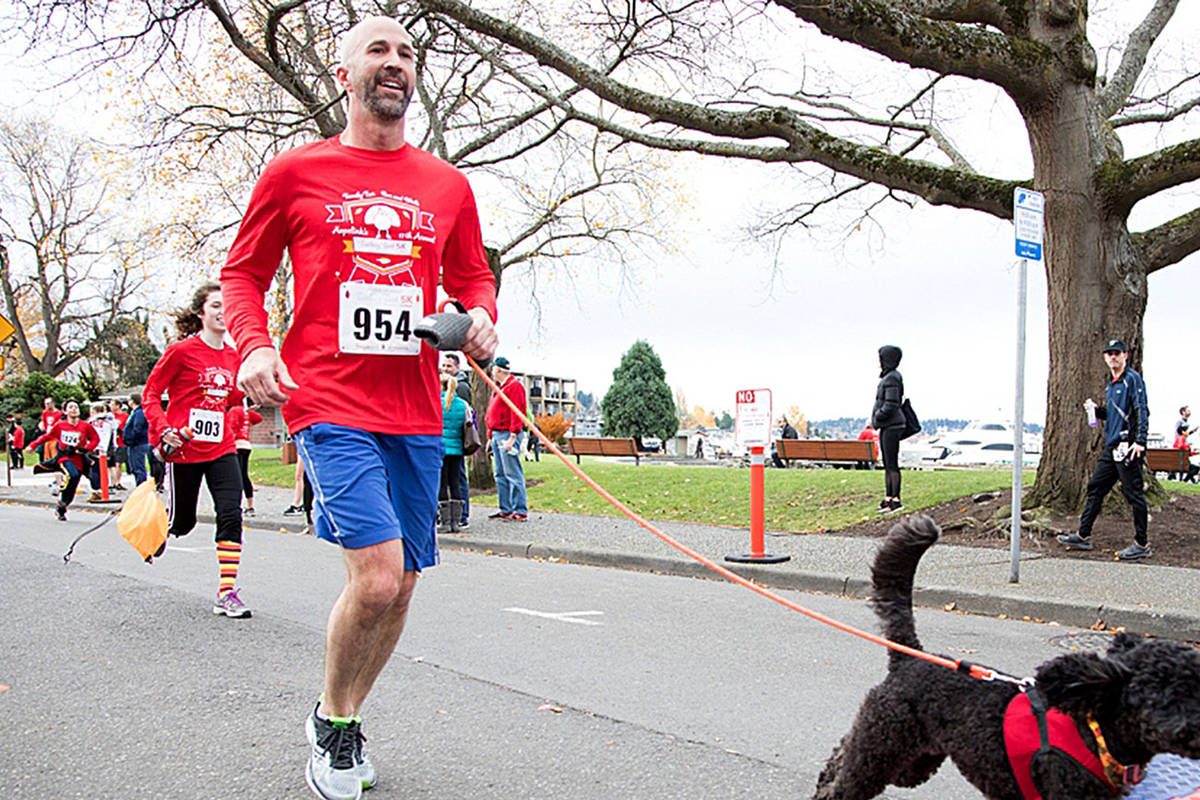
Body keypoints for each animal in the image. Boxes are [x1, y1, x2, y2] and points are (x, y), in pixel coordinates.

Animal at [816, 515, 1200, 800]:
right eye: (1175, 693)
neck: (1094, 729)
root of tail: (913, 657)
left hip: (911, 757)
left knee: (843, 755)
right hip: (884, 745)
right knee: (848, 783)